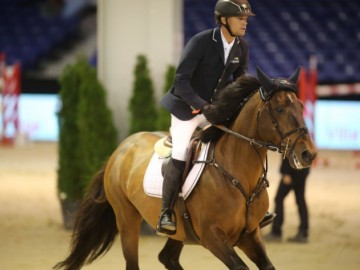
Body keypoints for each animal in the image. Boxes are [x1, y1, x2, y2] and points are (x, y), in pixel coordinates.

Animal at [54, 67, 318, 270]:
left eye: (301, 106)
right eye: (280, 109)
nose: (309, 154)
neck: (238, 173)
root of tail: (120, 150)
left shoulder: (250, 234)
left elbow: (267, 266)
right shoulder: (213, 237)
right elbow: (240, 267)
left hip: (180, 231)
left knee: (167, 258)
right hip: (127, 219)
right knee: (134, 261)